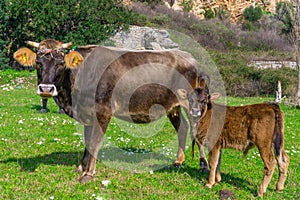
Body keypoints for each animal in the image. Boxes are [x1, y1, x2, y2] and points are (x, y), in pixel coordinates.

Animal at [14, 38, 209, 182]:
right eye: (38, 62)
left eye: (61, 63)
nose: (46, 89)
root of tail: (189, 57)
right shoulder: (87, 113)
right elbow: (87, 141)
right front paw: (81, 167)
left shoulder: (103, 111)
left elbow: (95, 142)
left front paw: (88, 174)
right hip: (173, 106)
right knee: (182, 128)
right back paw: (178, 162)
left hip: (193, 104)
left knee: (197, 132)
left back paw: (203, 166)